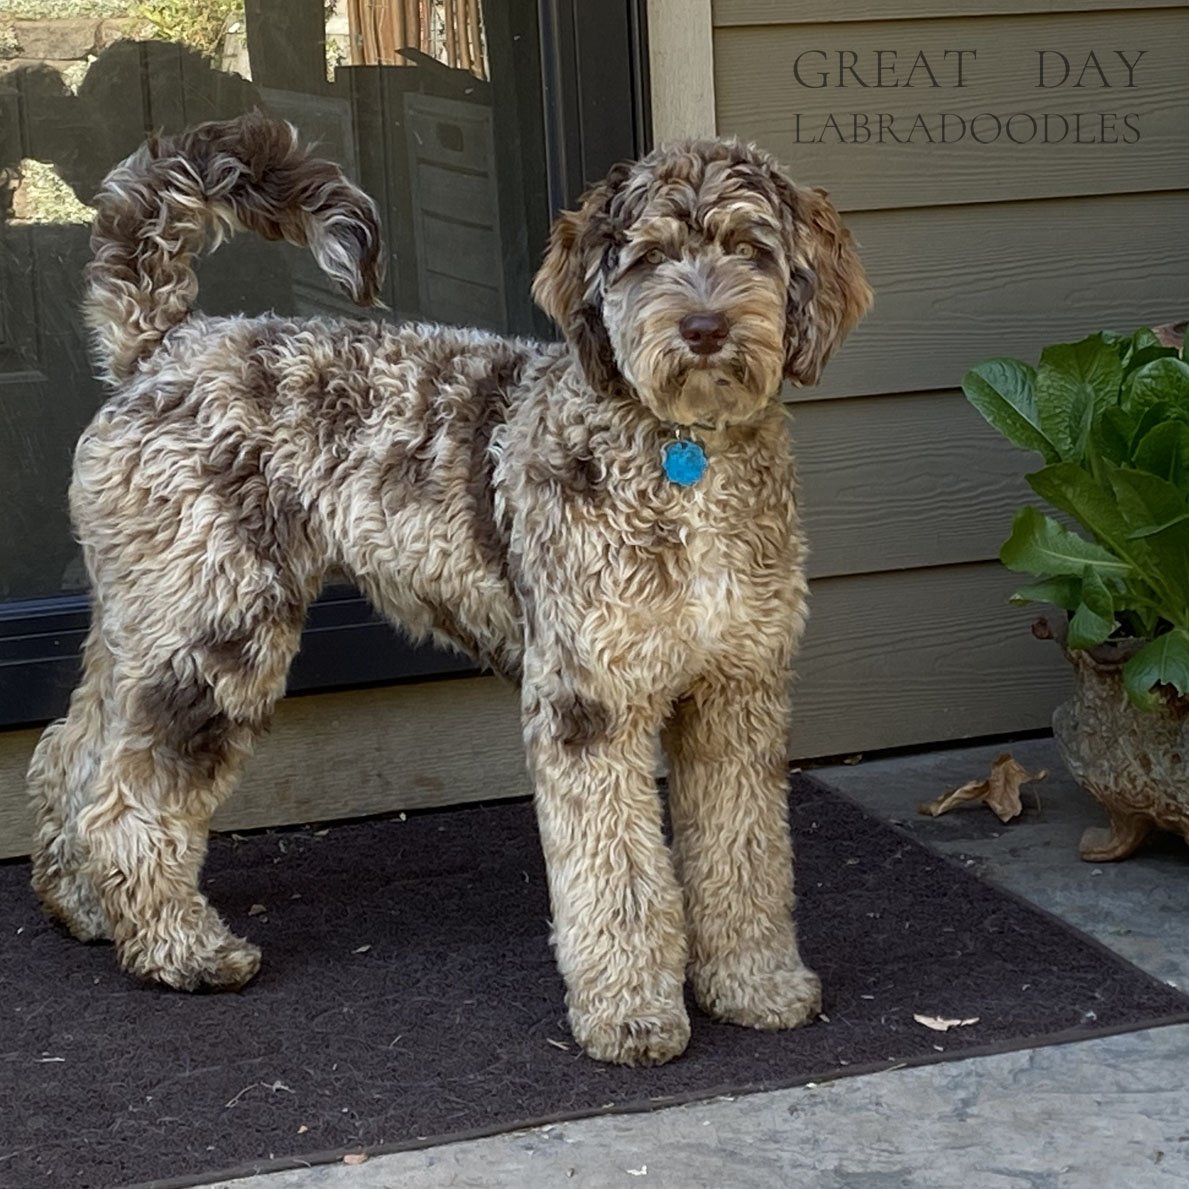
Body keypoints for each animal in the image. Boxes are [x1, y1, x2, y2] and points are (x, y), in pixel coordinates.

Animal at [25, 115, 865, 1070]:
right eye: (647, 257)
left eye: (749, 248)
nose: (703, 327)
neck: (683, 458)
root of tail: (162, 343)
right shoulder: (589, 702)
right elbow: (616, 875)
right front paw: (630, 1014)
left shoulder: (736, 692)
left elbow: (744, 854)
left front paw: (756, 985)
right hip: (215, 633)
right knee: (128, 800)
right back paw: (181, 950)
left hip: (146, 621)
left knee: (71, 752)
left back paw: (84, 906)